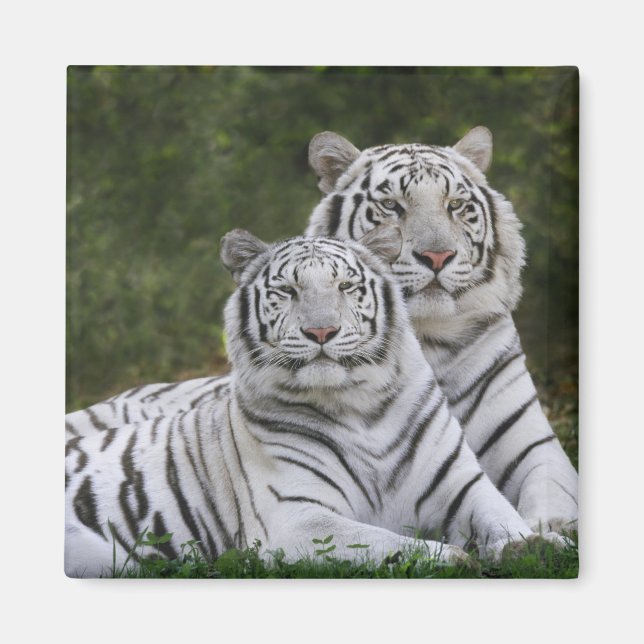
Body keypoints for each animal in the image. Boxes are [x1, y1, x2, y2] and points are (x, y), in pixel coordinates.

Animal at [65, 226, 557, 578]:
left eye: (346, 286)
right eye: (288, 291)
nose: (321, 332)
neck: (361, 408)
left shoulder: (461, 484)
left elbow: (501, 513)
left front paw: (534, 545)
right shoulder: (296, 518)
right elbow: (385, 543)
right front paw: (457, 558)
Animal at [305, 127, 578, 534]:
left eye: (455, 205)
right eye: (392, 206)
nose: (437, 256)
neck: (428, 336)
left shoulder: (534, 442)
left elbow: (552, 490)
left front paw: (548, 528)